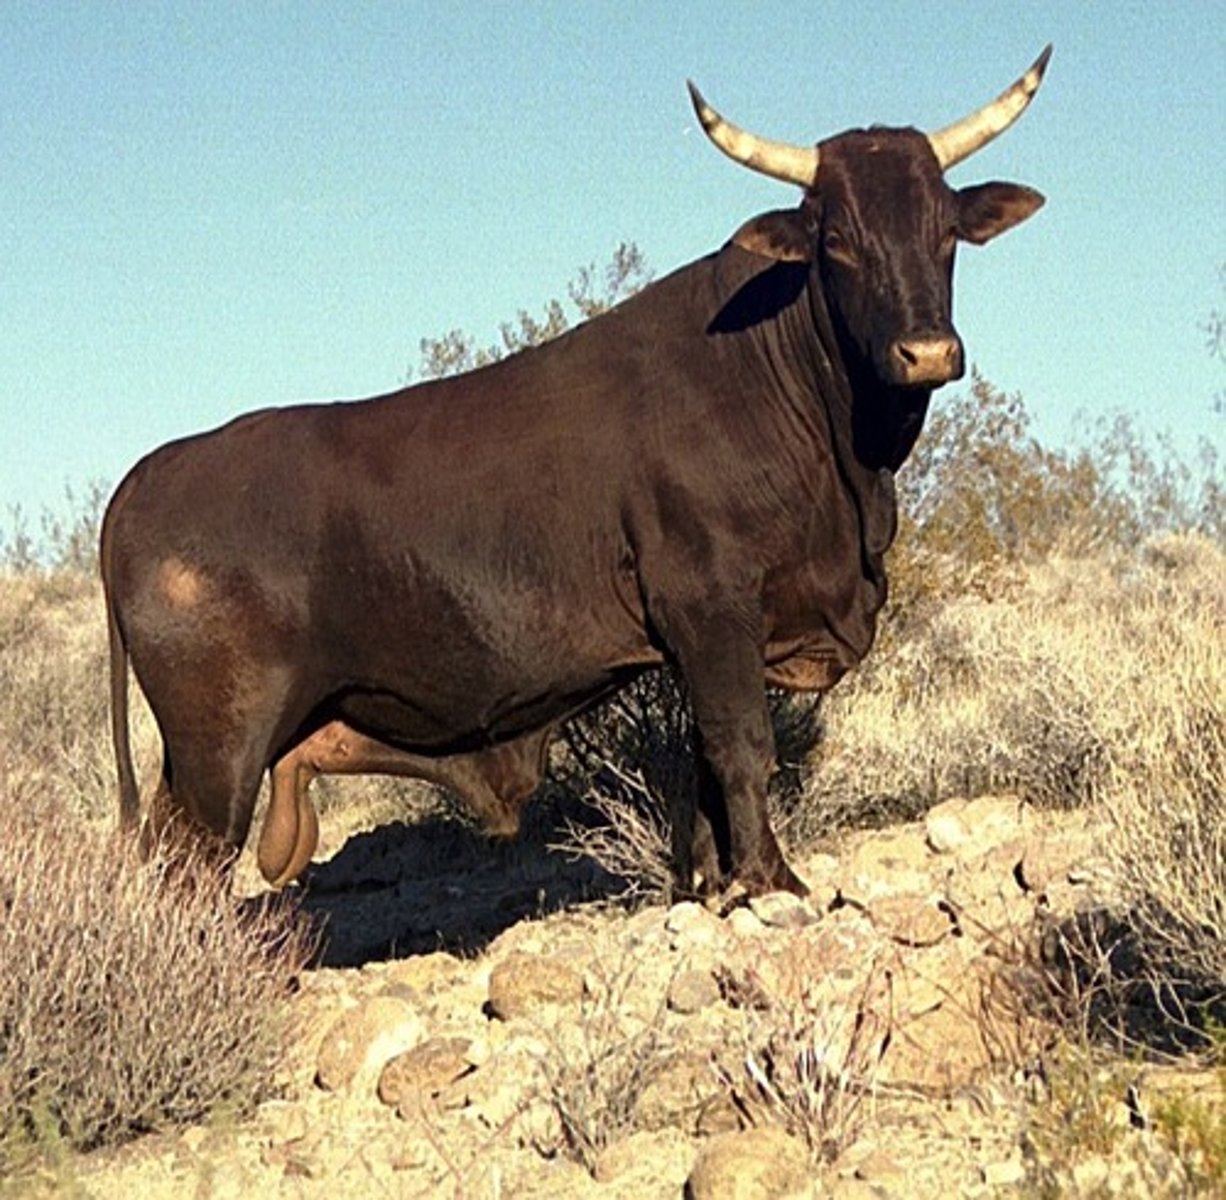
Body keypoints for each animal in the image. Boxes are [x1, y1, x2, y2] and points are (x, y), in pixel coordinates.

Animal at [101, 48, 1051, 899]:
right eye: (839, 241)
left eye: (945, 232)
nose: (927, 351)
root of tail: (150, 475)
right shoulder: (710, 604)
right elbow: (743, 746)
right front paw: (772, 879)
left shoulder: (702, 639)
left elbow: (704, 768)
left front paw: (715, 884)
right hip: (220, 754)